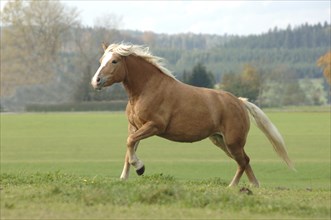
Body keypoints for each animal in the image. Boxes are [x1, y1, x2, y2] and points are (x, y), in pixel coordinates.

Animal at [90, 43, 294, 187]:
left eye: (114, 61)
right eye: (101, 60)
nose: (96, 81)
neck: (146, 89)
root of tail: (240, 102)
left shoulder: (154, 126)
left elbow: (130, 143)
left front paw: (140, 168)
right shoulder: (135, 127)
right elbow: (129, 147)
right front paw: (124, 178)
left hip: (233, 141)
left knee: (243, 161)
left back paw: (232, 186)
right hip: (221, 140)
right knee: (245, 160)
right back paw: (254, 185)